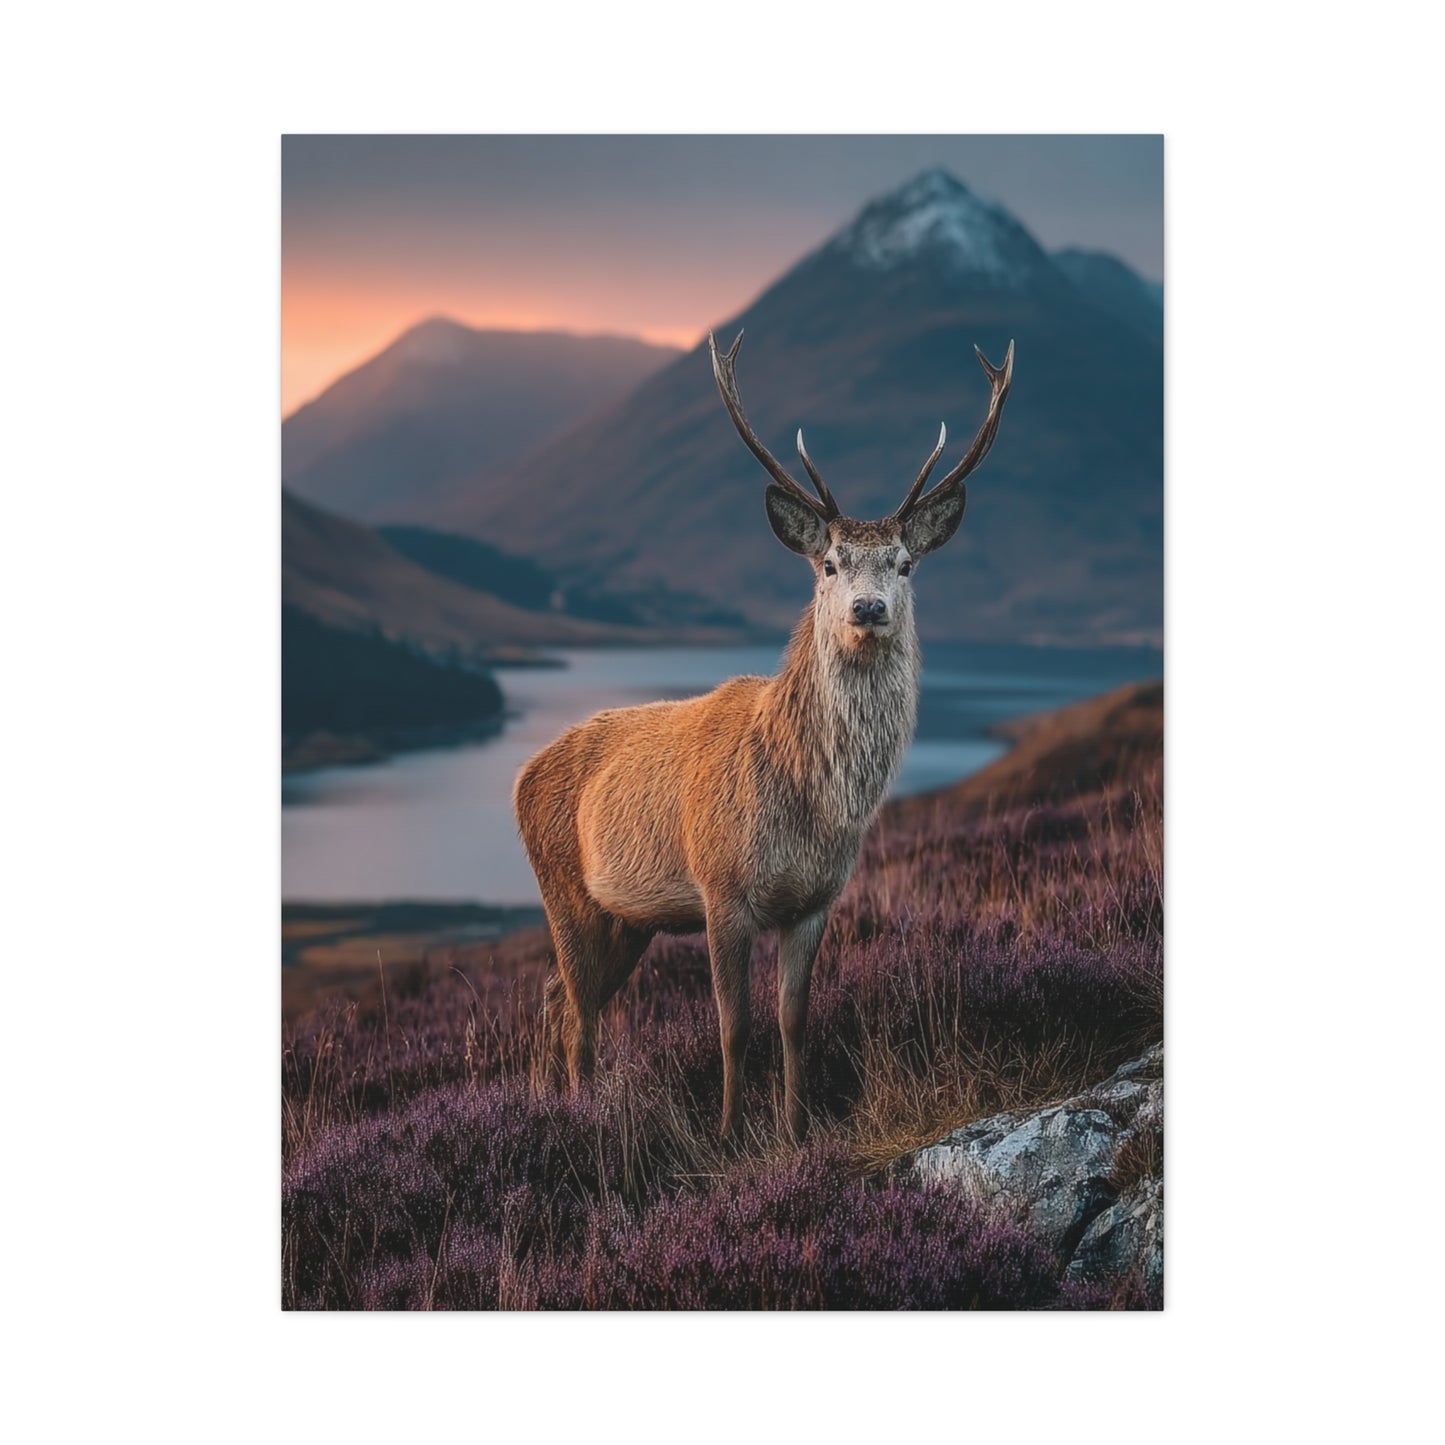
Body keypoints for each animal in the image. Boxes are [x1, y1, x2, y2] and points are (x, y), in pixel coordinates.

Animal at [513, 330, 1014, 1142]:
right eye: (829, 563)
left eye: (904, 563)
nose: (868, 608)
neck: (808, 809)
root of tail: (522, 773)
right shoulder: (721, 891)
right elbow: (732, 1025)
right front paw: (725, 1131)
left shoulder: (815, 902)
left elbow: (792, 1020)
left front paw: (793, 1128)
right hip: (564, 890)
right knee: (579, 1009)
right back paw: (580, 1113)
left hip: (627, 918)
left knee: (558, 998)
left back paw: (549, 1102)